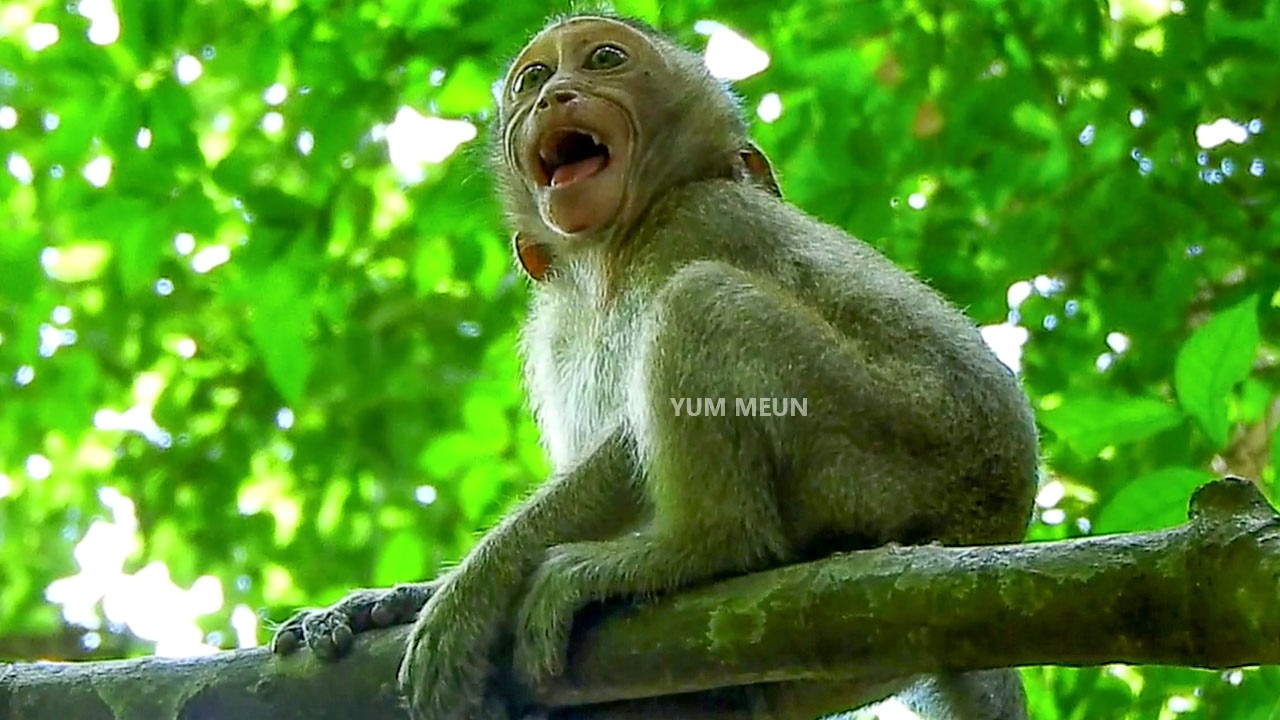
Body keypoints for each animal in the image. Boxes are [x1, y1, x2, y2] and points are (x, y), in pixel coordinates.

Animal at [272, 14, 1039, 720]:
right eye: (533, 79)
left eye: (604, 60)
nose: (554, 96)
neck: (604, 261)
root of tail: (988, 525)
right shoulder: (550, 329)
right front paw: (397, 601)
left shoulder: (704, 216)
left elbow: (621, 452)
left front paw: (470, 592)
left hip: (890, 457)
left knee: (704, 300)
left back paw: (702, 547)